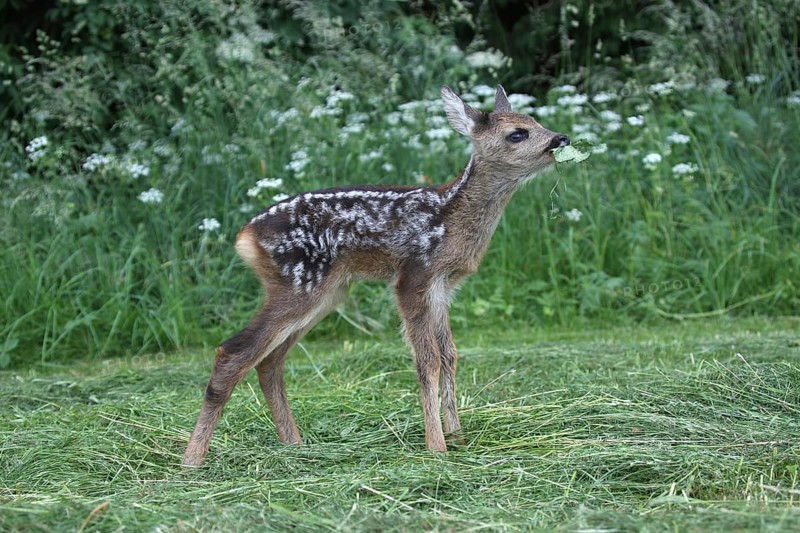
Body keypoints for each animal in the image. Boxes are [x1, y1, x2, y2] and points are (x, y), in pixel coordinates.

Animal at [182, 84, 570, 466]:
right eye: (517, 133)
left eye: (536, 121)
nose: (561, 138)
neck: (451, 219)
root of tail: (246, 236)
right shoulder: (413, 276)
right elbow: (427, 360)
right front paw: (437, 446)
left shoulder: (444, 286)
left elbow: (450, 355)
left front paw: (458, 437)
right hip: (299, 283)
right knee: (234, 352)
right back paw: (193, 459)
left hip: (326, 292)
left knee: (269, 362)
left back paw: (295, 445)